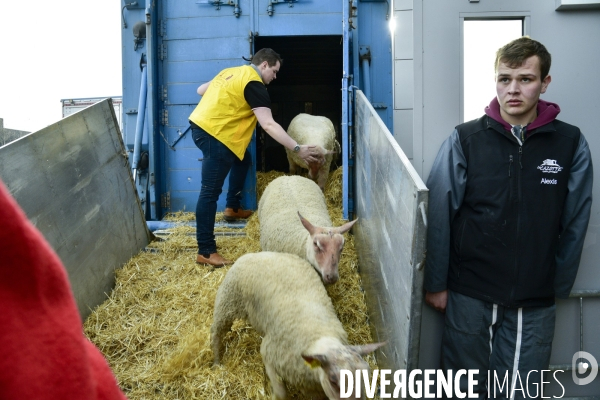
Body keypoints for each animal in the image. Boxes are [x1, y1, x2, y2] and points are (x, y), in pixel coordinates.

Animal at [210, 253, 384, 400]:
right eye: (334, 381)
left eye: (368, 374)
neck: (320, 337)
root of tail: (255, 253)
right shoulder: (268, 353)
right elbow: (280, 393)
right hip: (228, 301)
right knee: (216, 332)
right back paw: (216, 361)